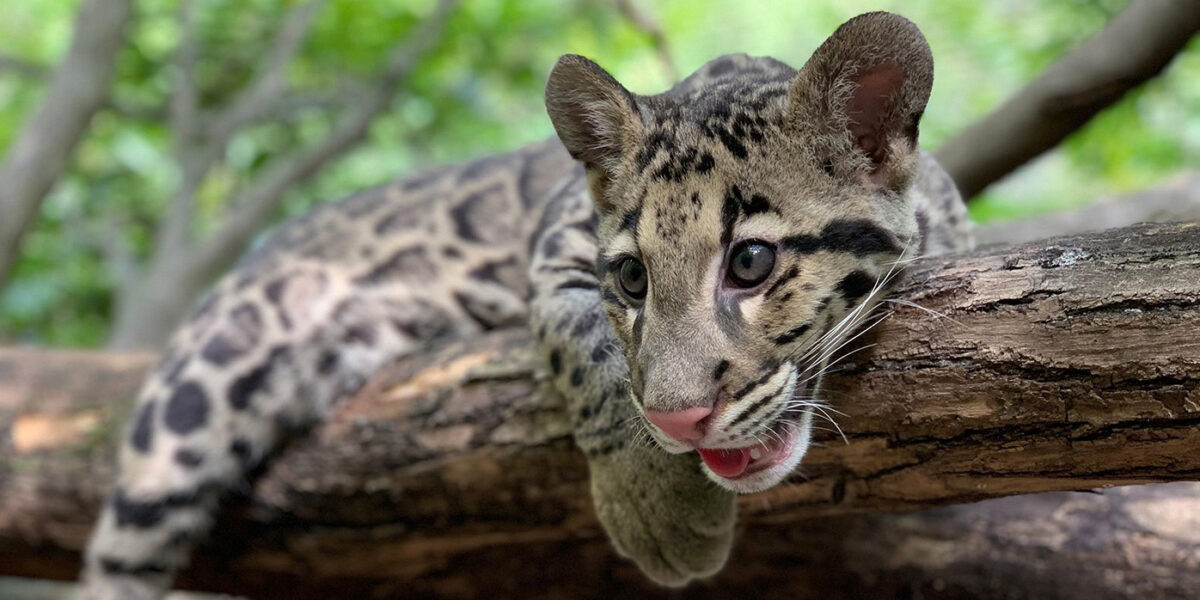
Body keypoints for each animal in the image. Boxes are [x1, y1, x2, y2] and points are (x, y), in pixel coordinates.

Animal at [81, 11, 970, 599]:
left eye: (750, 263)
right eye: (632, 279)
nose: (680, 421)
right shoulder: (557, 239)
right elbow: (584, 346)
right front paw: (654, 502)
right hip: (194, 403)